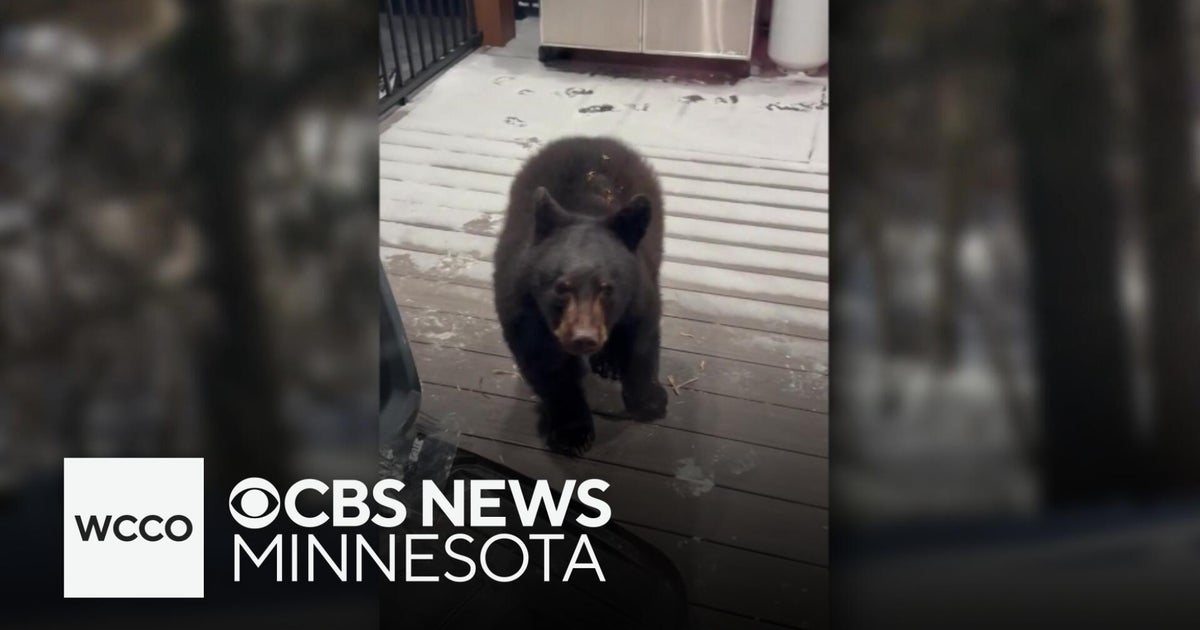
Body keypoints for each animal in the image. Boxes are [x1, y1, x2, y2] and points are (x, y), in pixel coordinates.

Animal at [493, 136, 669, 454]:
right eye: (560, 286)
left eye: (608, 288)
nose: (584, 338)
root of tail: (590, 138)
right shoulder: (523, 307)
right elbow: (547, 367)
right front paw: (572, 432)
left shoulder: (640, 291)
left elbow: (641, 339)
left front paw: (650, 402)